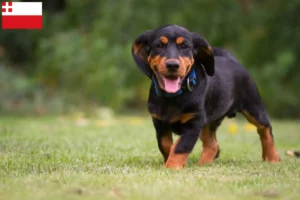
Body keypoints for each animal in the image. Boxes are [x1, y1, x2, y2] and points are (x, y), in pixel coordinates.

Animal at [132, 24, 280, 169]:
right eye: (159, 45)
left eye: (184, 46)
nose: (172, 65)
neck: (173, 97)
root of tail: (232, 60)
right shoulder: (159, 123)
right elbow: (165, 145)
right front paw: (171, 161)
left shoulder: (194, 123)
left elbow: (180, 146)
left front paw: (172, 167)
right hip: (209, 123)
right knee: (212, 144)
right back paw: (204, 163)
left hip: (253, 106)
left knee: (265, 129)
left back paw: (272, 158)